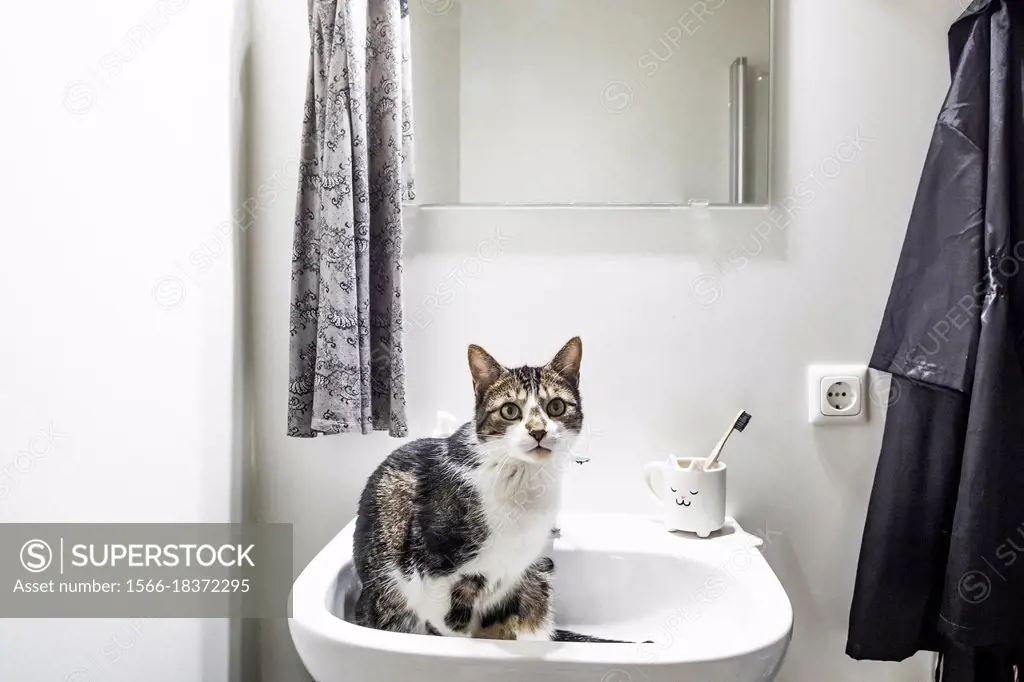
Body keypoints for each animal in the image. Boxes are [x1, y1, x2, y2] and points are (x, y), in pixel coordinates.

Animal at [352, 337, 622, 638]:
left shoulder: (514, 571)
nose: (538, 431)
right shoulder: (431, 577)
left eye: (556, 407)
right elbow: (452, 628)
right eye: (509, 410)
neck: (525, 481)